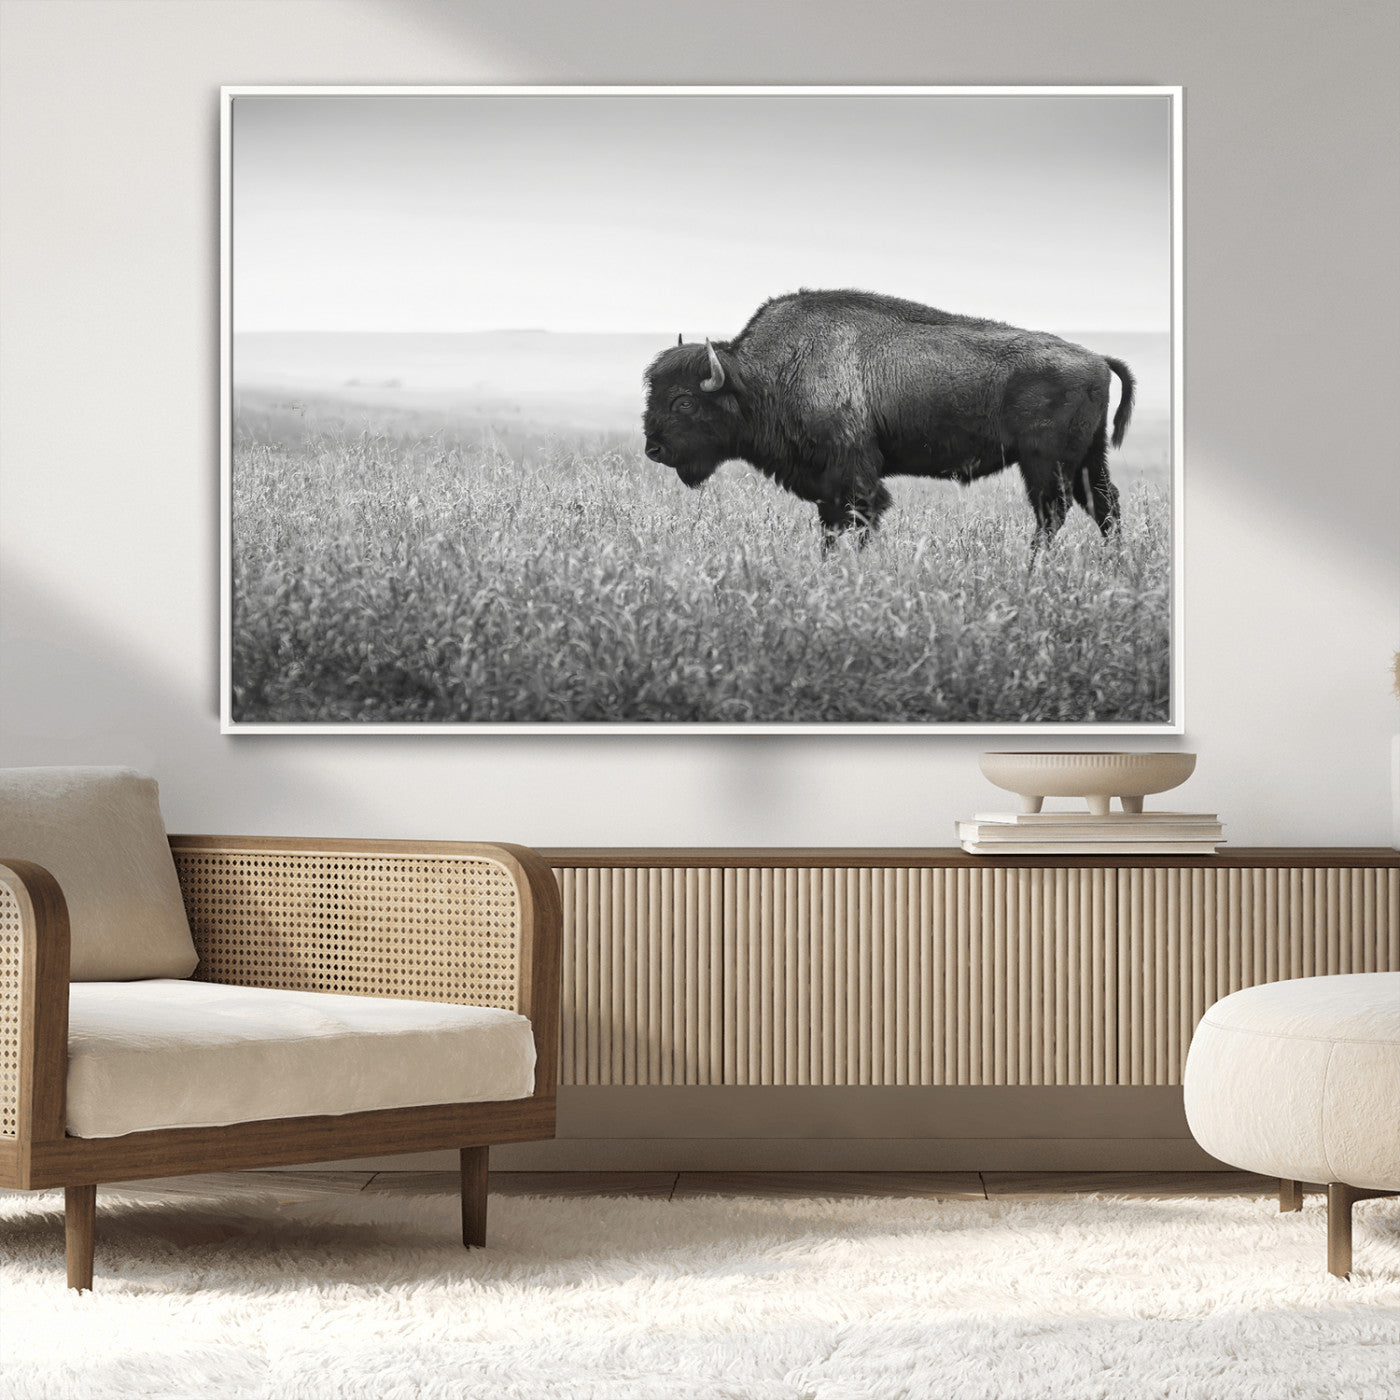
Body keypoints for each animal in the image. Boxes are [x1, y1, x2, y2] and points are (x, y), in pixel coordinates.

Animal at [642, 289, 1135, 551]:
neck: (764, 375)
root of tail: (1097, 358)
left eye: (684, 402)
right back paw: (1112, 564)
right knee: (1104, 505)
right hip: (1087, 459)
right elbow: (831, 526)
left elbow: (860, 518)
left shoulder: (854, 475)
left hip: (1045, 463)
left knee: (1053, 513)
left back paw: (1033, 567)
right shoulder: (826, 484)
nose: (653, 449)